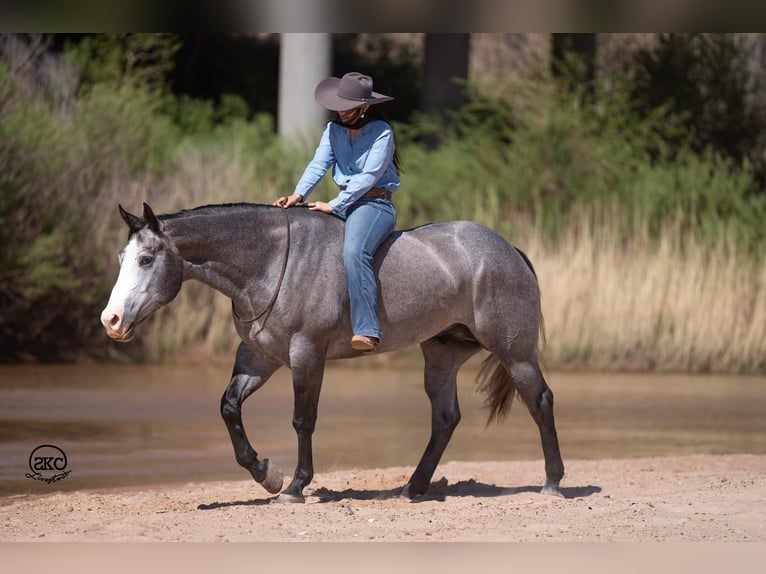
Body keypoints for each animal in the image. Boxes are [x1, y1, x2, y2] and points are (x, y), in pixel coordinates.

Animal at [99, 202, 564, 504]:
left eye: (146, 259)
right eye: (122, 256)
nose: (112, 320)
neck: (273, 262)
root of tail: (508, 249)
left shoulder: (307, 354)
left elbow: (303, 421)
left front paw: (294, 486)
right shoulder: (259, 358)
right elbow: (229, 407)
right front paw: (266, 474)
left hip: (515, 353)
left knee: (540, 401)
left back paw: (553, 482)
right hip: (441, 355)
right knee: (445, 419)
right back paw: (413, 488)